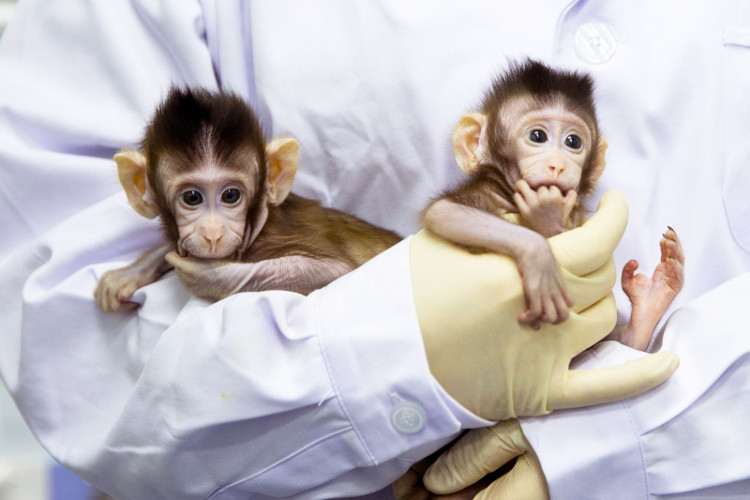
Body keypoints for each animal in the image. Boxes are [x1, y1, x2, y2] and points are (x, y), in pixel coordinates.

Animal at [95, 87, 401, 313]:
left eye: (230, 195)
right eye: (192, 197)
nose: (213, 233)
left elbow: (339, 272)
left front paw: (210, 275)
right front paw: (133, 270)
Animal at [423, 59, 684, 350]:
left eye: (573, 142)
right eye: (537, 136)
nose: (558, 165)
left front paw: (548, 218)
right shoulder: (484, 193)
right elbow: (445, 213)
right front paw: (539, 255)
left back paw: (650, 306)